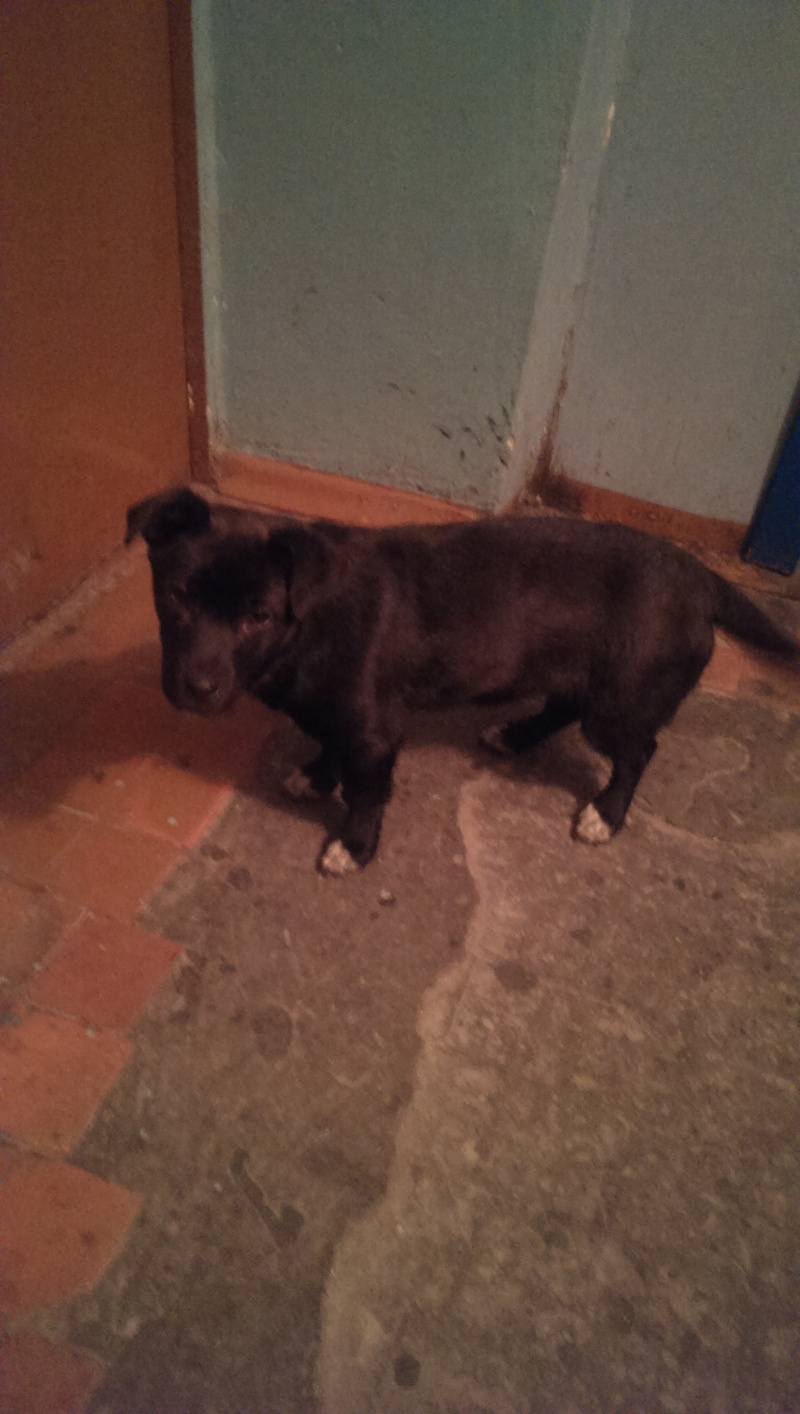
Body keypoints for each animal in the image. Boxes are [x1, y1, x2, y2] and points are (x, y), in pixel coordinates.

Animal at [126, 487, 799, 875]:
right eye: (176, 596)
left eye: (257, 617)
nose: (196, 687)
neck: (307, 624)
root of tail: (701, 578)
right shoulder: (339, 718)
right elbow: (330, 745)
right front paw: (317, 776)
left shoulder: (374, 731)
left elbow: (366, 790)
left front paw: (355, 846)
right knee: (562, 705)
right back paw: (515, 735)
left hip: (619, 703)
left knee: (637, 752)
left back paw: (606, 815)